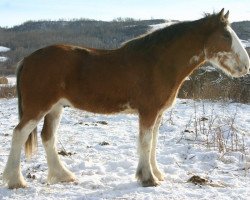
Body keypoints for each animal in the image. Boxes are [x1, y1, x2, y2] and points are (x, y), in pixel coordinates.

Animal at [2, 8, 250, 189]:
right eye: (226, 35)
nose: (246, 66)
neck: (156, 63)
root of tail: (27, 59)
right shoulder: (148, 112)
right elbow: (146, 142)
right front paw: (148, 178)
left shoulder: (157, 114)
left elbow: (153, 143)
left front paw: (156, 174)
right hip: (38, 107)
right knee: (19, 134)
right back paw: (16, 181)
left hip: (55, 108)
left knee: (48, 137)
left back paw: (63, 175)